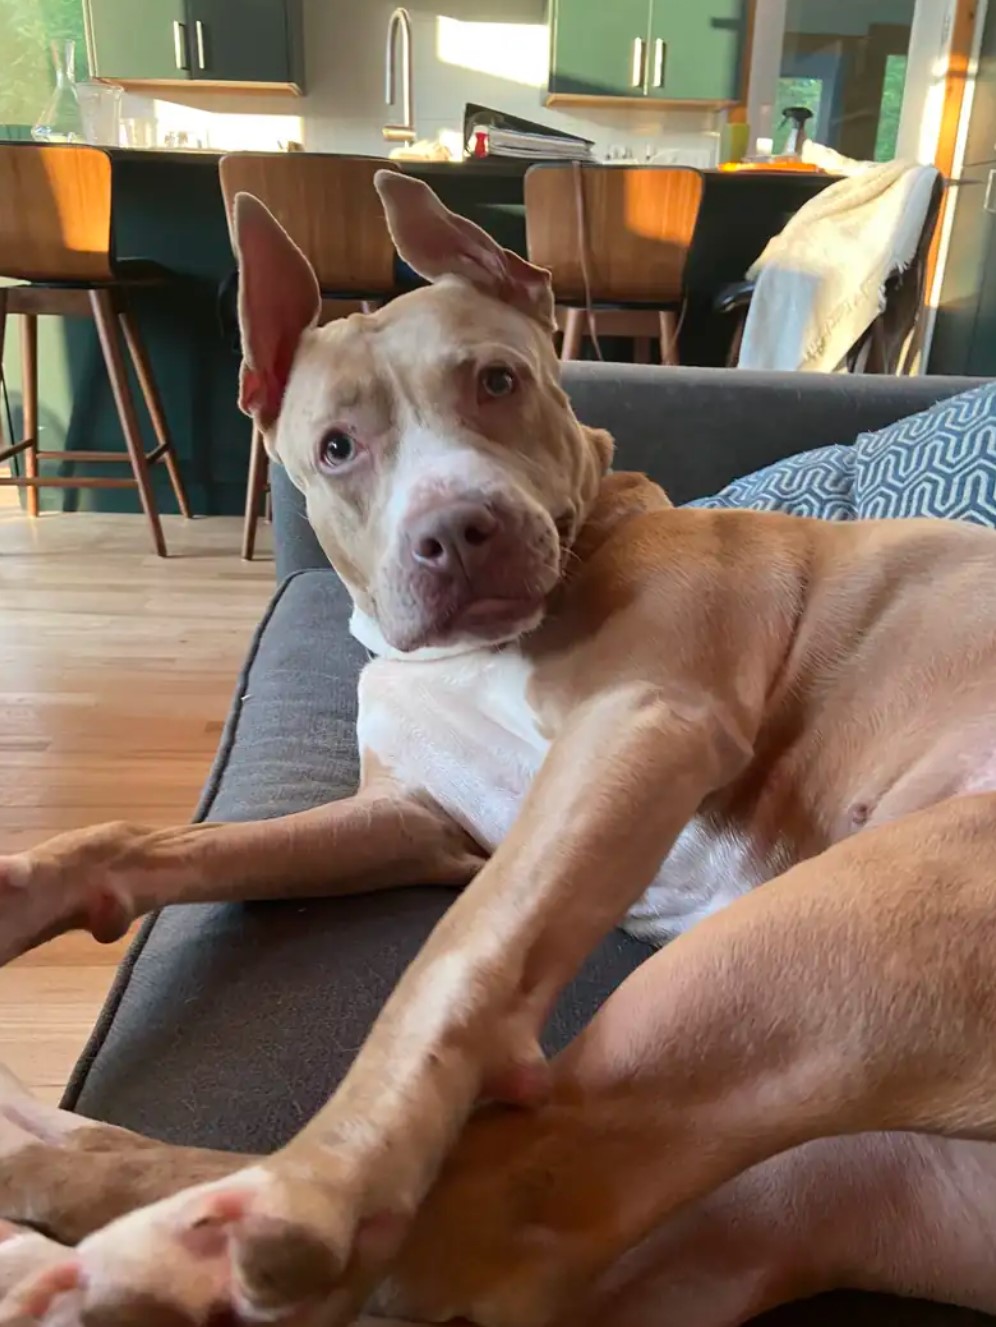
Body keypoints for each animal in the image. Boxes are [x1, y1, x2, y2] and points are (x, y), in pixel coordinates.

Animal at [0, 173, 996, 1327]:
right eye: (337, 447)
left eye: (497, 381)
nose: (457, 531)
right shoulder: (408, 818)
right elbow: (174, 842)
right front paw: (30, 885)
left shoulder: (642, 722)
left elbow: (453, 957)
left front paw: (322, 1181)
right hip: (821, 1188)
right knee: (530, 1248)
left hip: (833, 931)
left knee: (495, 1211)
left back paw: (172, 1222)